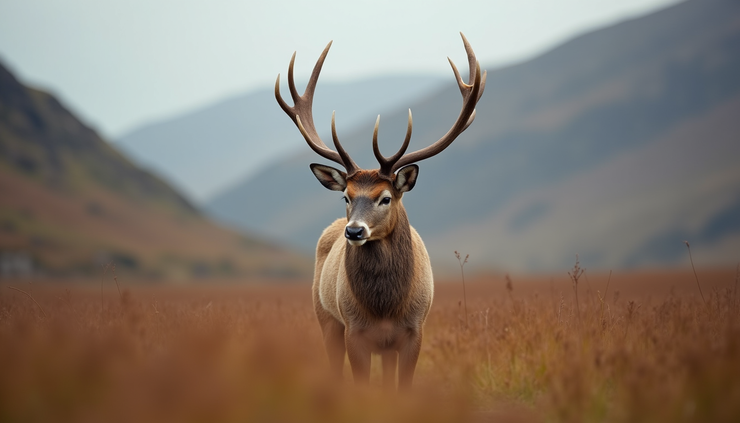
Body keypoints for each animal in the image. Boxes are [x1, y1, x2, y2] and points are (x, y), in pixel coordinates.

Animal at [274, 33, 486, 389]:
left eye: (385, 198)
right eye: (346, 197)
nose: (355, 231)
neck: (385, 309)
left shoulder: (415, 330)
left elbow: (400, 388)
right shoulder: (353, 330)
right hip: (325, 316)